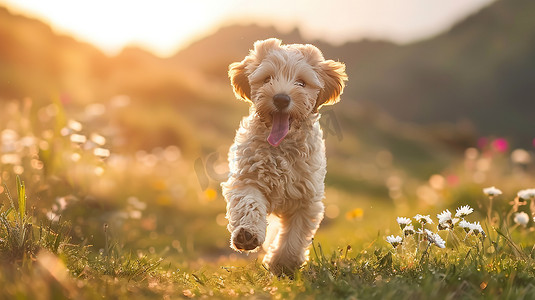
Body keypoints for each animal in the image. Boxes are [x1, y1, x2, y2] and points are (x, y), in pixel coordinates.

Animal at [221, 38, 348, 276]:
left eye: (301, 83)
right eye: (267, 78)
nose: (281, 98)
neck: (280, 148)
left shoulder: (306, 199)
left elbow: (294, 236)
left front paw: (283, 263)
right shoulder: (246, 180)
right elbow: (249, 204)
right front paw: (247, 233)